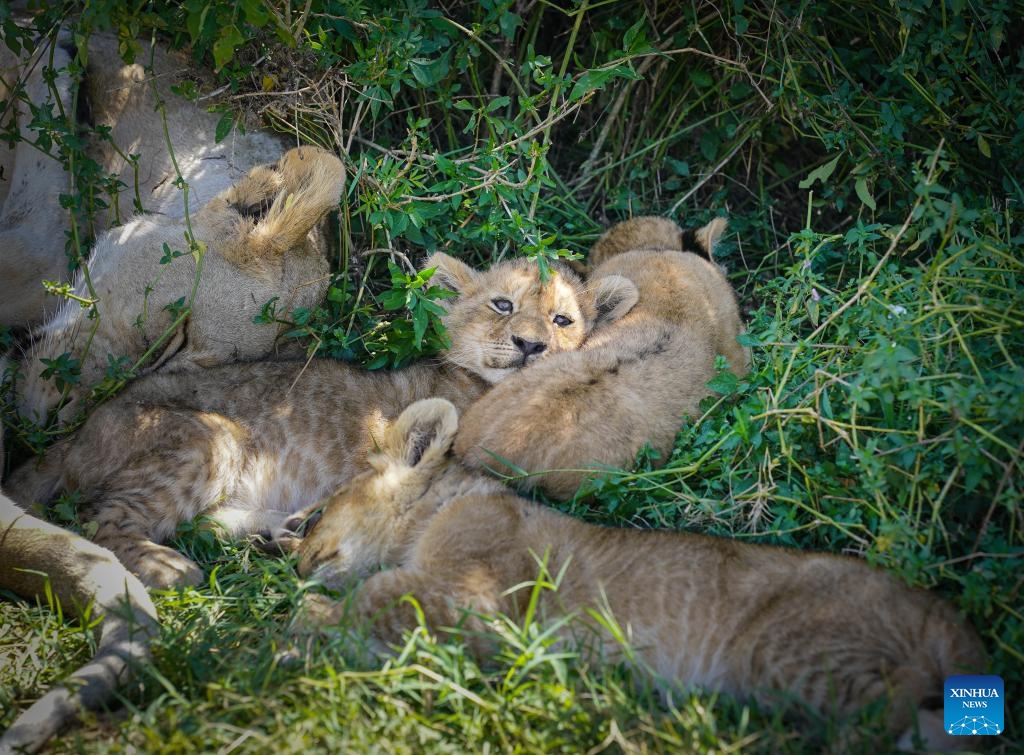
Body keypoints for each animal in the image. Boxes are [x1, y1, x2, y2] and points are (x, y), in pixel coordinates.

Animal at [6, 257, 637, 588]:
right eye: (503, 305)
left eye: (562, 319)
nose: (532, 346)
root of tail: (77, 433)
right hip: (210, 437)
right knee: (100, 517)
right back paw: (169, 566)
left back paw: (279, 531)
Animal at [292, 397, 987, 752]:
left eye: (317, 513)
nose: (295, 562)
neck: (439, 508)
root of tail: (939, 610)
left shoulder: (480, 597)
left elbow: (373, 596)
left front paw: (302, 625)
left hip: (788, 650)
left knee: (892, 713)